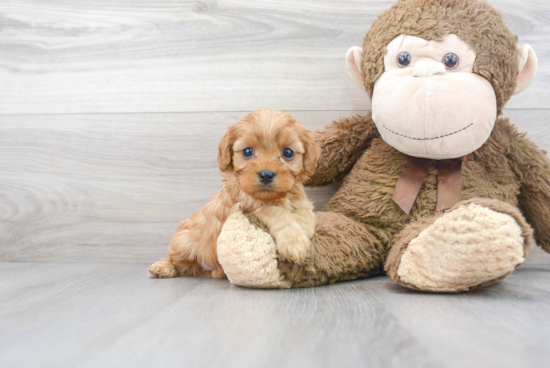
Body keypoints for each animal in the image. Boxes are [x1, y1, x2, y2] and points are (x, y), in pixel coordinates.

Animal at [150, 109, 324, 278]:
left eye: (288, 152)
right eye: (247, 151)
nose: (266, 175)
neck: (276, 197)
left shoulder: (301, 202)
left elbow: (307, 216)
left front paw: (304, 235)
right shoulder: (248, 203)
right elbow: (279, 213)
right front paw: (294, 243)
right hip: (183, 243)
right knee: (175, 259)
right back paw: (163, 267)